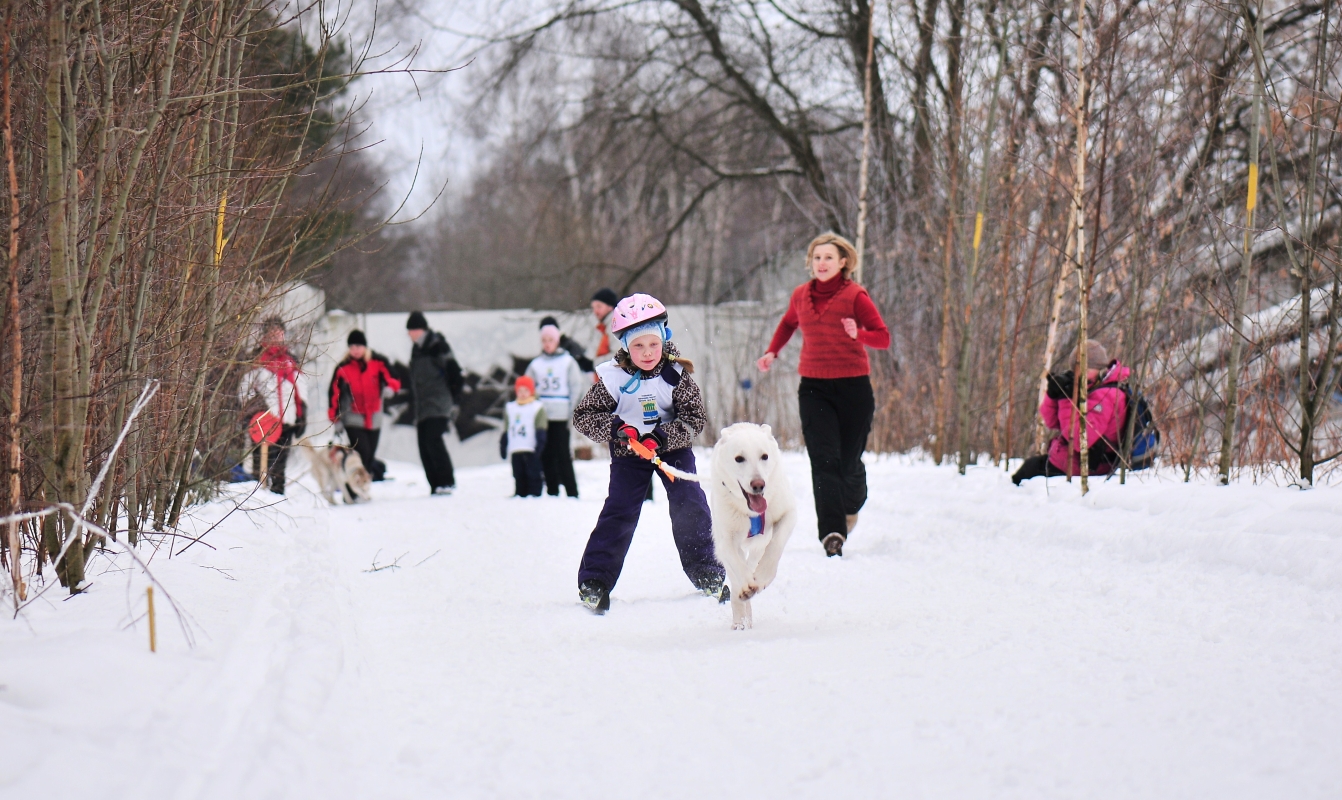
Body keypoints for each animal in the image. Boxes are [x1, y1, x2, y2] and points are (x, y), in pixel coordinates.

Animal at [708, 421, 789, 628]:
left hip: (757, 548)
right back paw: (741, 619)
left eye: (764, 456)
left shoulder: (788, 513)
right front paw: (746, 586)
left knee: (754, 561)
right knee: (736, 576)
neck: (751, 511)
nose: (758, 484)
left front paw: (762, 577)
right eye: (739, 458)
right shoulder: (725, 541)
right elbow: (738, 566)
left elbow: (776, 545)